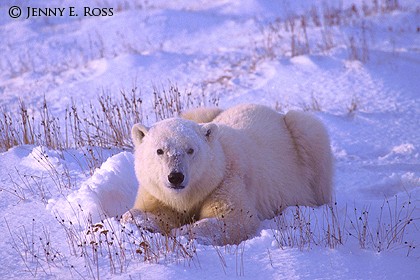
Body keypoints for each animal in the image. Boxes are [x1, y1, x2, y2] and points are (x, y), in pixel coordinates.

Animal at [123, 104, 334, 244]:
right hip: (203, 113)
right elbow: (151, 211)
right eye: (159, 150)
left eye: (190, 150)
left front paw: (180, 233)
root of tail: (274, 111)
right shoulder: (156, 191)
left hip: (302, 141)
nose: (175, 177)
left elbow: (234, 219)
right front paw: (139, 221)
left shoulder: (226, 181)